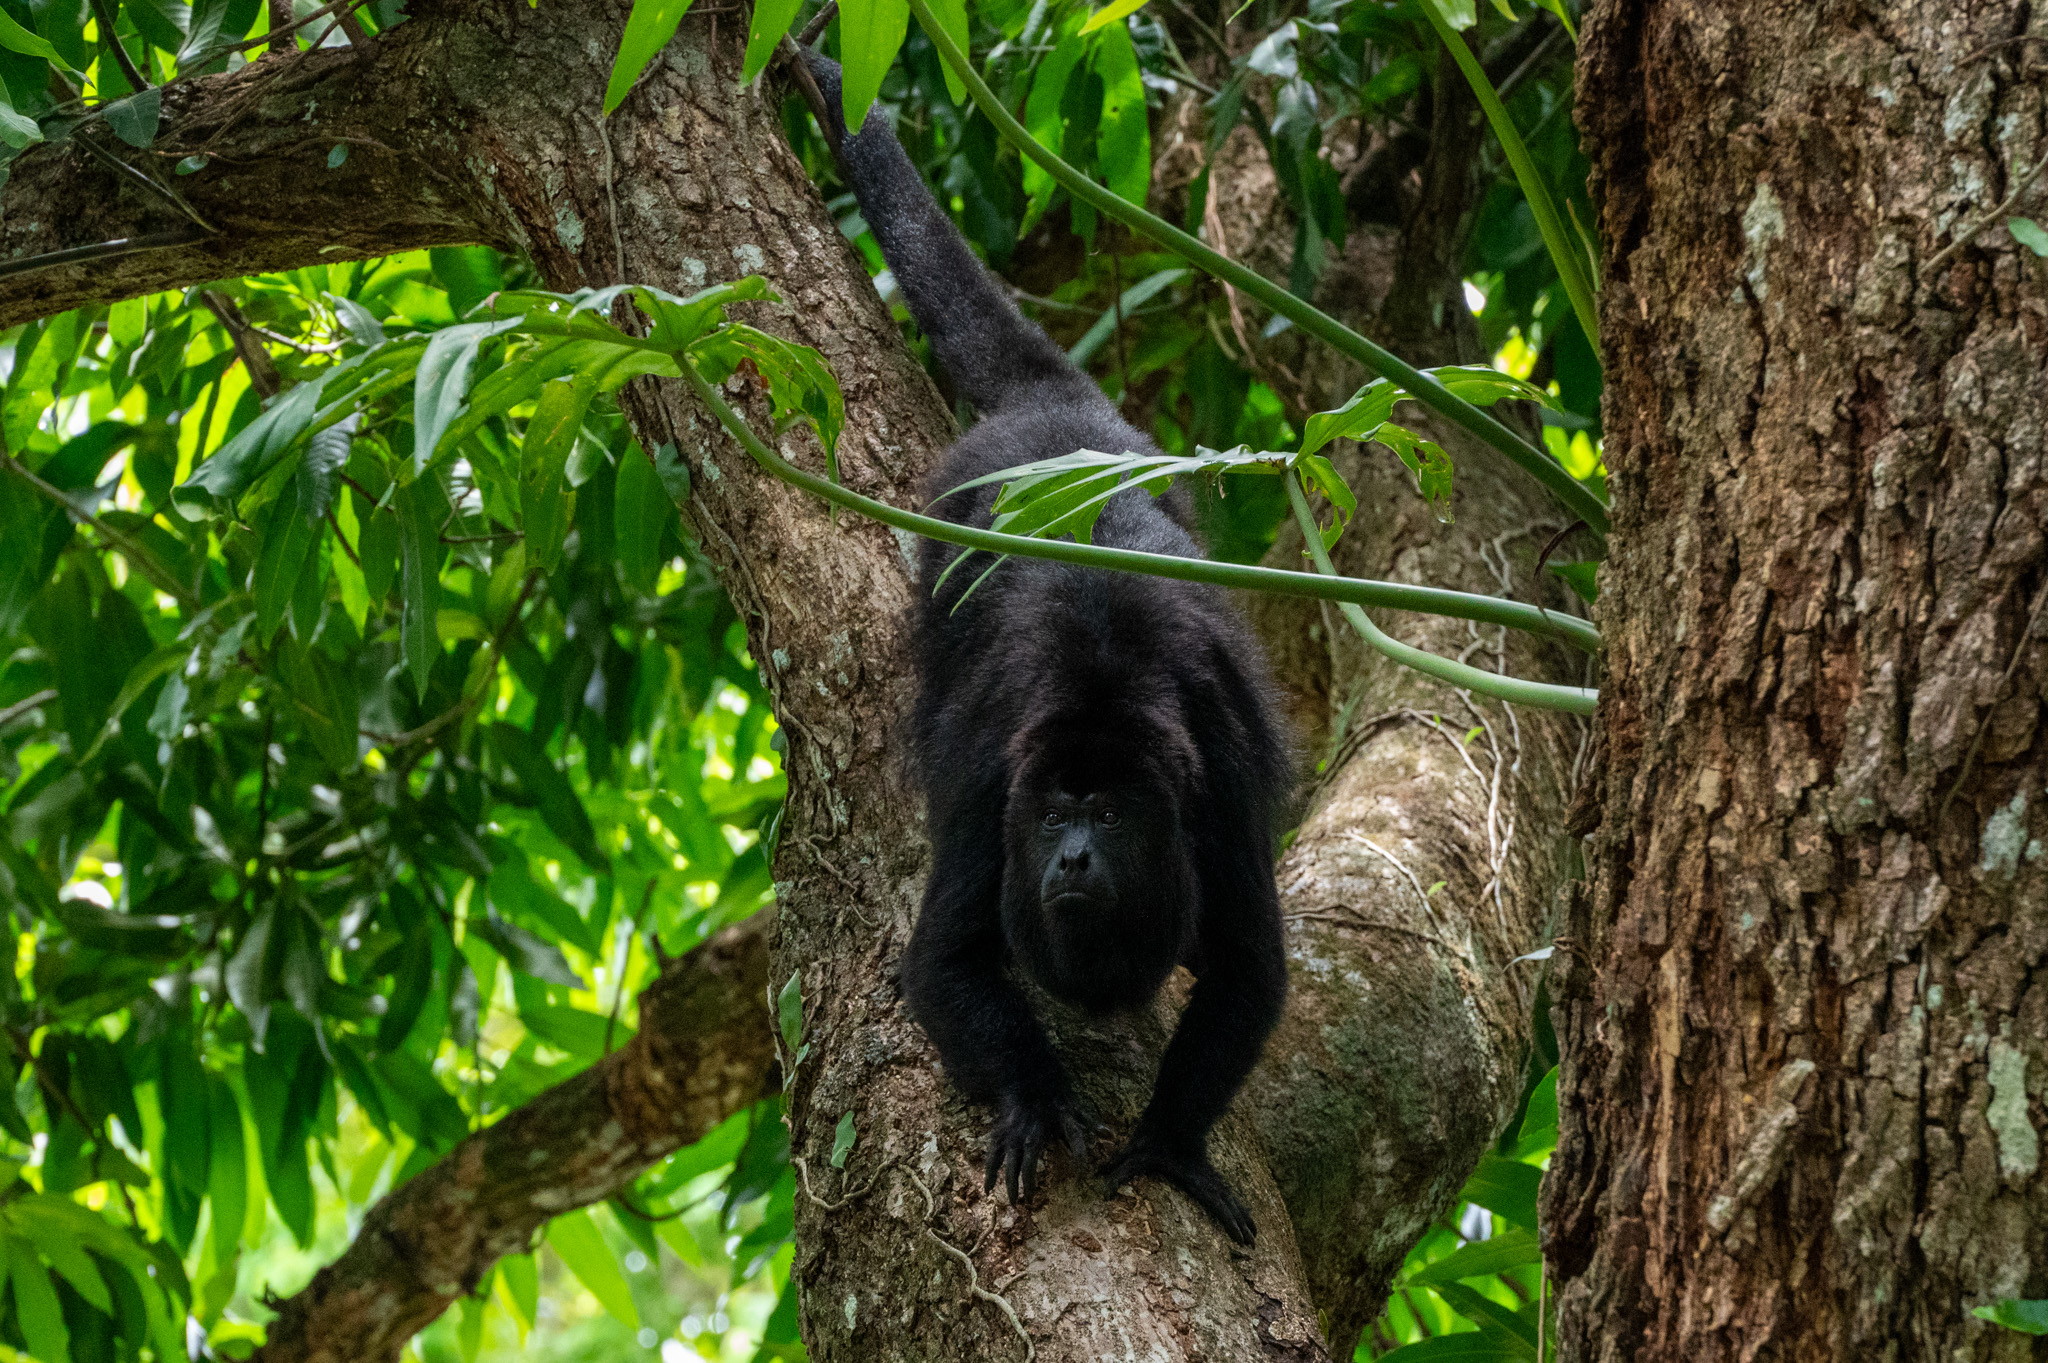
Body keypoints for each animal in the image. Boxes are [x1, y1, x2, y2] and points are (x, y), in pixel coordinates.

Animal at [803, 53, 1290, 1245]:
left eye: (1107, 815)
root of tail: (1060, 422)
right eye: (1057, 812)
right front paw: (1031, 1096)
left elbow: (1250, 970)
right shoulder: (996, 783)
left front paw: (1170, 1142)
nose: (1068, 857)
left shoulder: (1215, 783)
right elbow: (940, 959)